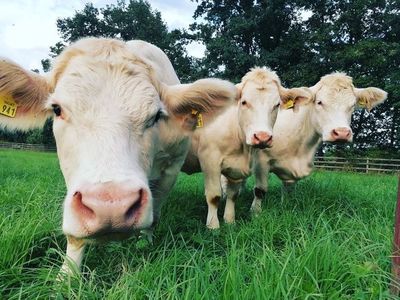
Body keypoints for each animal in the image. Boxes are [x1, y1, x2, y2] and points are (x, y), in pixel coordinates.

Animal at [181, 67, 312, 227]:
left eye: (276, 105)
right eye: (244, 102)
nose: (262, 137)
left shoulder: (237, 167)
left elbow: (233, 194)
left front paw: (229, 221)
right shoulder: (209, 159)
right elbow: (214, 196)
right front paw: (213, 226)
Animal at [250, 72, 388, 213]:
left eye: (353, 105)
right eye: (319, 102)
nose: (342, 133)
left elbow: (288, 191)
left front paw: (286, 207)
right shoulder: (261, 160)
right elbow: (260, 190)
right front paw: (256, 213)